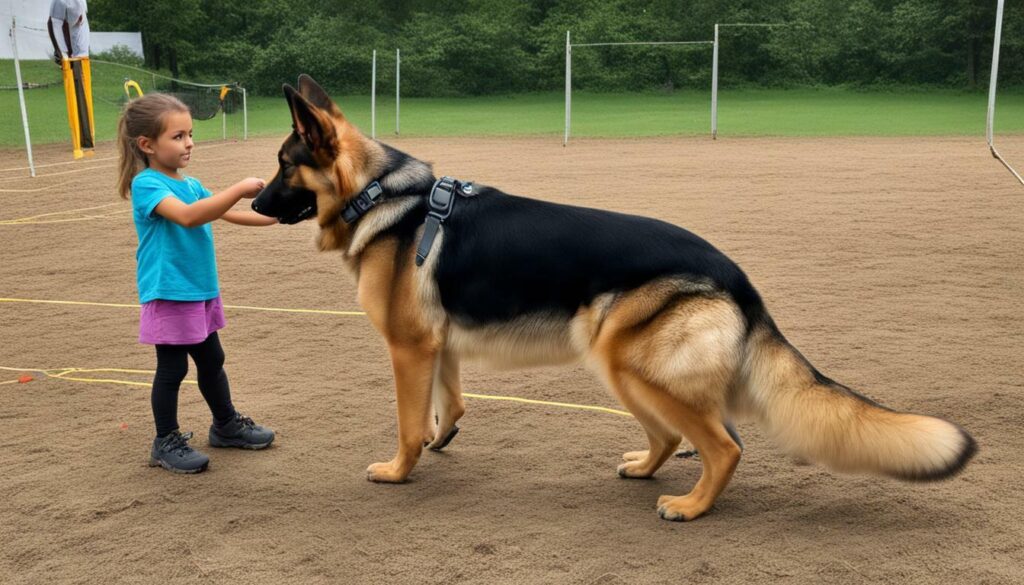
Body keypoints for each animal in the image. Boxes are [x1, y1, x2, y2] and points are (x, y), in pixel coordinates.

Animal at [253, 76, 974, 522]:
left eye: (284, 166)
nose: (254, 204)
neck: (381, 196)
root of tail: (735, 273)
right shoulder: (437, 346)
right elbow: (447, 402)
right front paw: (442, 437)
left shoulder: (407, 348)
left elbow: (406, 421)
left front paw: (399, 469)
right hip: (621, 368)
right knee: (675, 436)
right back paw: (646, 469)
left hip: (628, 365)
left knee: (724, 444)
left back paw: (691, 506)